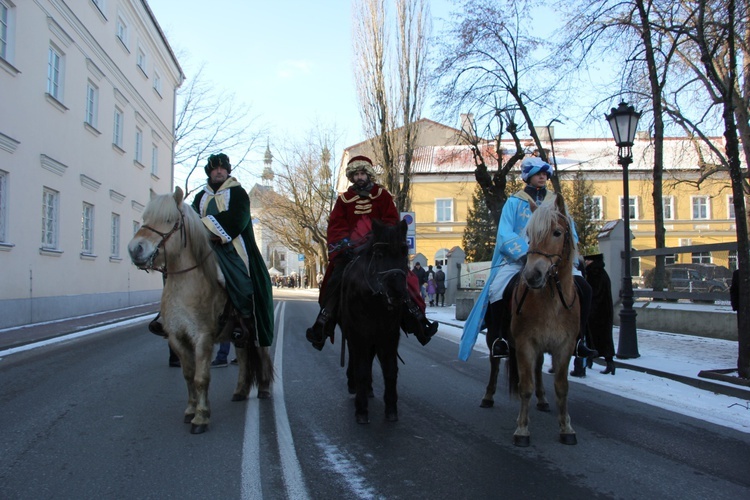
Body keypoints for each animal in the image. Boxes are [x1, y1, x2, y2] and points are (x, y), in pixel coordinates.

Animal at [342, 221, 412, 424]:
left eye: (404, 252)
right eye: (379, 254)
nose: (398, 293)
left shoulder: (388, 335)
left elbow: (390, 369)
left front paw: (391, 408)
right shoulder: (358, 334)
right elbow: (361, 368)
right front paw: (361, 409)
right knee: (356, 358)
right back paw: (354, 385)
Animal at [508, 193, 584, 448]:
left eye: (557, 232)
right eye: (529, 236)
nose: (532, 275)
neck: (551, 301)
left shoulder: (565, 345)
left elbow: (561, 387)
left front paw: (567, 428)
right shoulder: (525, 344)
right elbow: (525, 387)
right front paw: (522, 429)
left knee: (540, 368)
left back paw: (542, 400)